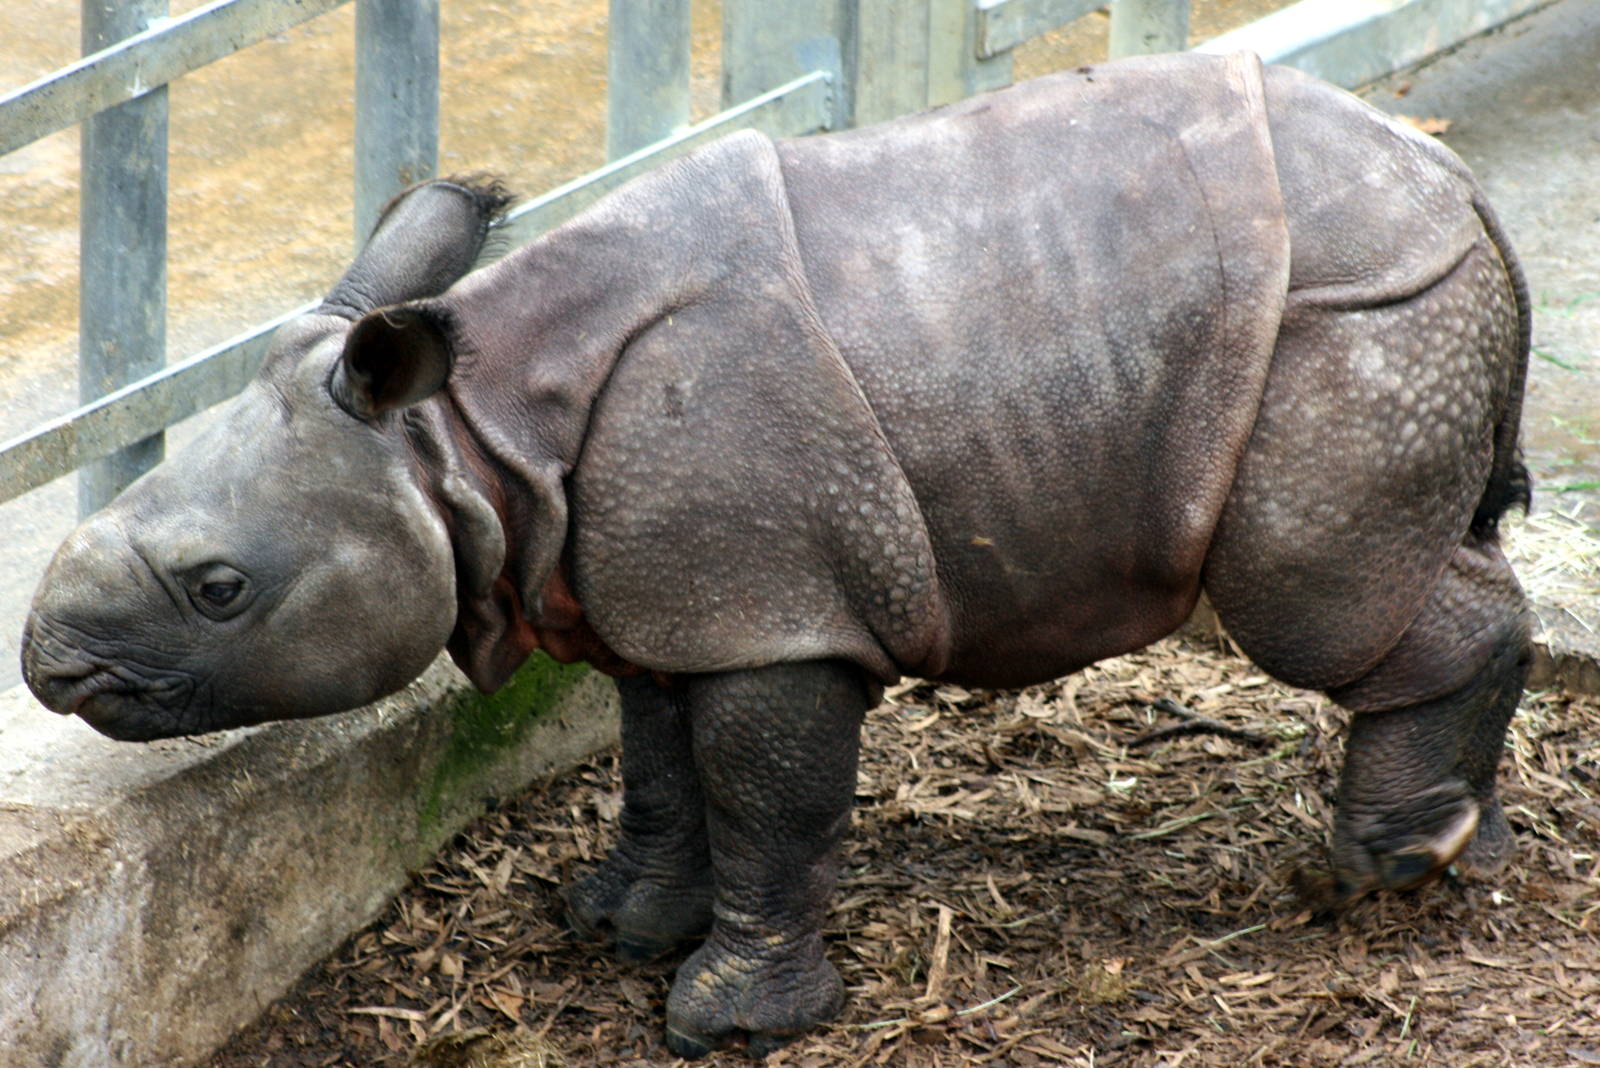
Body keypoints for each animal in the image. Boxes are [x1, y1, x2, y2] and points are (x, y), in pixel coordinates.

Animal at [22, 52, 1531, 1056]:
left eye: (219, 589)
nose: (47, 664)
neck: (464, 440)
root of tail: (1459, 179)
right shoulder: (662, 589)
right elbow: (658, 764)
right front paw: (618, 926)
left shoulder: (770, 611)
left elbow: (762, 794)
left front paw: (728, 1022)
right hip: (1383, 307)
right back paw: (1471, 852)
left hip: (1352, 318)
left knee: (1319, 609)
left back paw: (1382, 872)